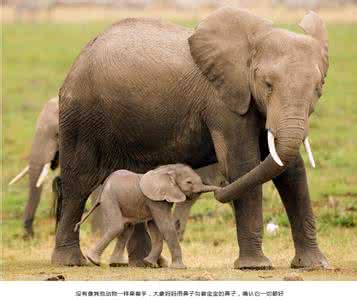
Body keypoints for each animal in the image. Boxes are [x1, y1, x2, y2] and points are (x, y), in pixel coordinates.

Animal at [76, 164, 218, 270]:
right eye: (189, 182)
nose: (218, 190)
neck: (168, 169)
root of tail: (104, 185)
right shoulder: (155, 200)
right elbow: (165, 226)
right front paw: (180, 268)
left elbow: (154, 228)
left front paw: (150, 263)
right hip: (110, 198)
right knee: (117, 227)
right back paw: (93, 260)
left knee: (127, 229)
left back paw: (117, 264)